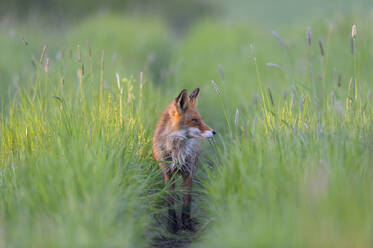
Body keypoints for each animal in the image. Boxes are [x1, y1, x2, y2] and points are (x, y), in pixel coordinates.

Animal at [152, 87, 215, 232]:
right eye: (194, 120)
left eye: (201, 119)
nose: (214, 132)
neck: (177, 150)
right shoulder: (168, 174)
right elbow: (171, 203)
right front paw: (172, 227)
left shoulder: (188, 173)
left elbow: (186, 204)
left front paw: (187, 226)